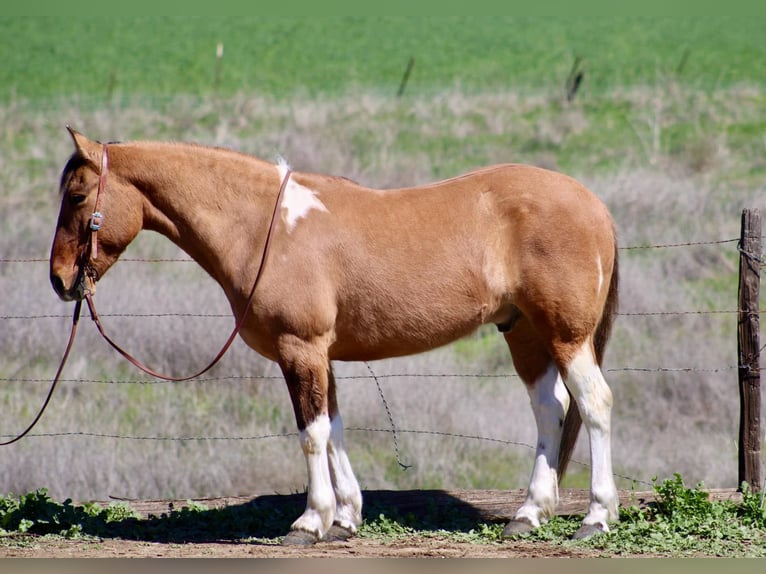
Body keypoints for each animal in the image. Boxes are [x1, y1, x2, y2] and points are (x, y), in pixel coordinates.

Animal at [50, 127, 620, 544]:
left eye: (77, 195)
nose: (59, 279)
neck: (266, 228)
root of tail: (593, 203)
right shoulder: (321, 356)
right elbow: (335, 427)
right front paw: (344, 517)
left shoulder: (299, 348)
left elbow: (312, 433)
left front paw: (310, 521)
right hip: (523, 332)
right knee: (550, 409)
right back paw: (528, 513)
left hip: (567, 335)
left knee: (593, 403)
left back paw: (595, 516)